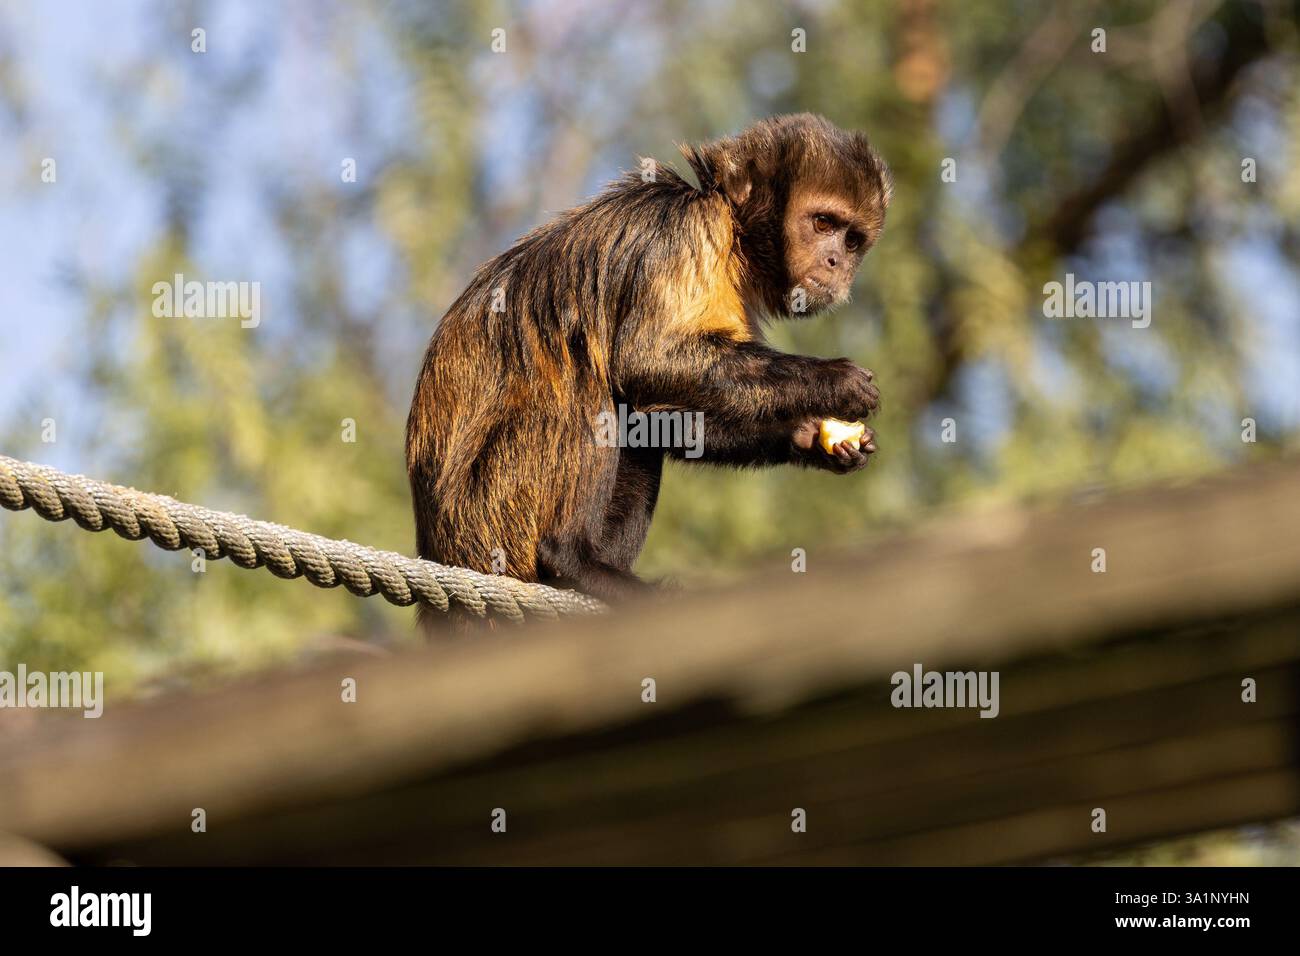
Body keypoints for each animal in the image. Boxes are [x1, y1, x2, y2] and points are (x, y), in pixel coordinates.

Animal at [406, 113, 891, 614]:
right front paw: (834, 379)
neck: (731, 228)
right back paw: (570, 560)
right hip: (492, 514)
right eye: (822, 223)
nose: (835, 261)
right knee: (588, 387)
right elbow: (646, 361)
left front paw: (805, 437)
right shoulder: (688, 234)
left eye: (852, 240)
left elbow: (655, 415)